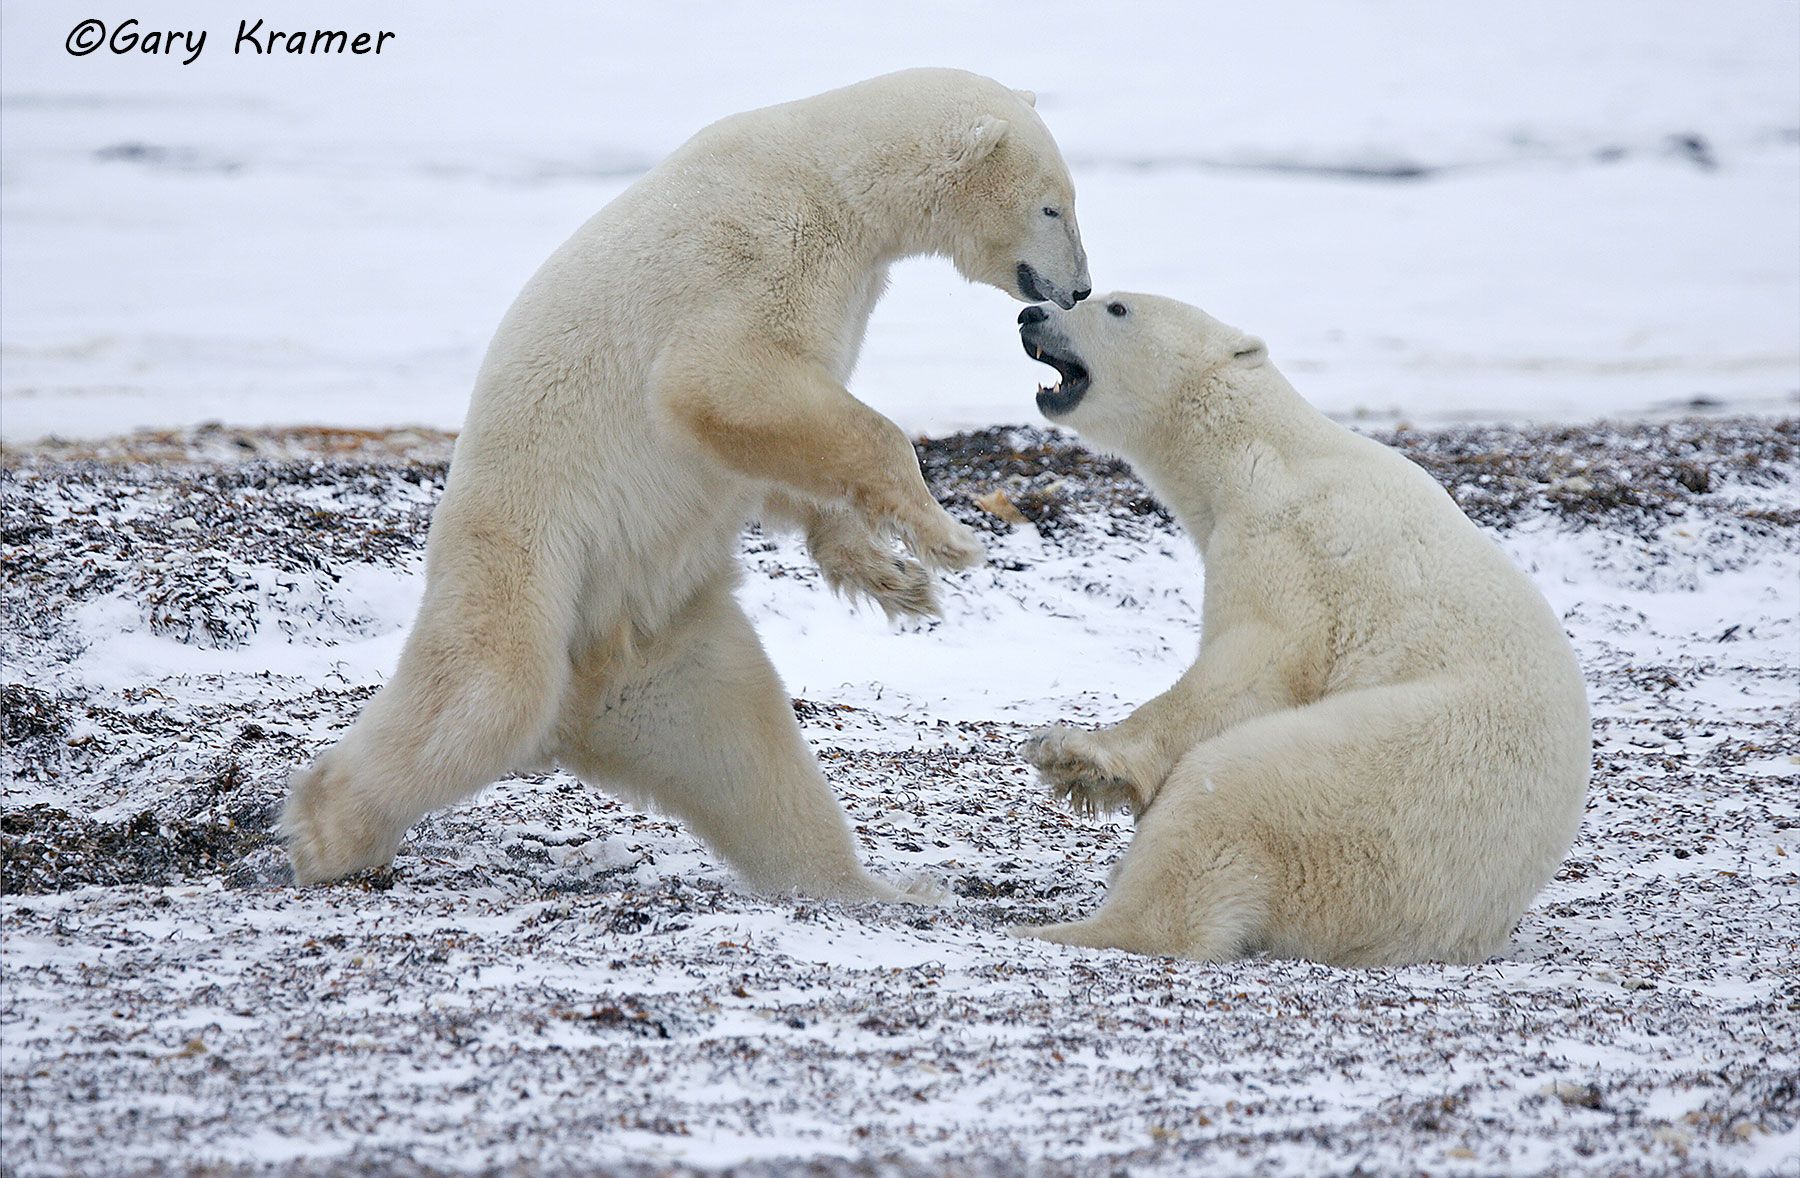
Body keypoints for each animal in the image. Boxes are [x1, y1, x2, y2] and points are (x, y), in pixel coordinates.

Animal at [283, 69, 1091, 901]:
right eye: (1053, 205)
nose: (1078, 289)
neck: (836, 175)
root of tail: (584, 697)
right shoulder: (759, 248)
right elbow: (718, 383)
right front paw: (948, 540)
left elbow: (783, 443)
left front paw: (895, 579)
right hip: (528, 554)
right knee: (490, 691)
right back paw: (326, 834)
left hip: (673, 645)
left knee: (750, 753)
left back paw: (882, 888)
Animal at [1013, 293, 1591, 965]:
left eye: (1115, 306)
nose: (1030, 313)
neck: (1263, 451)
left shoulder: (1292, 547)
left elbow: (1251, 669)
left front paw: (1074, 754)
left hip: (1390, 778)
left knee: (1229, 789)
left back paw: (1063, 926)